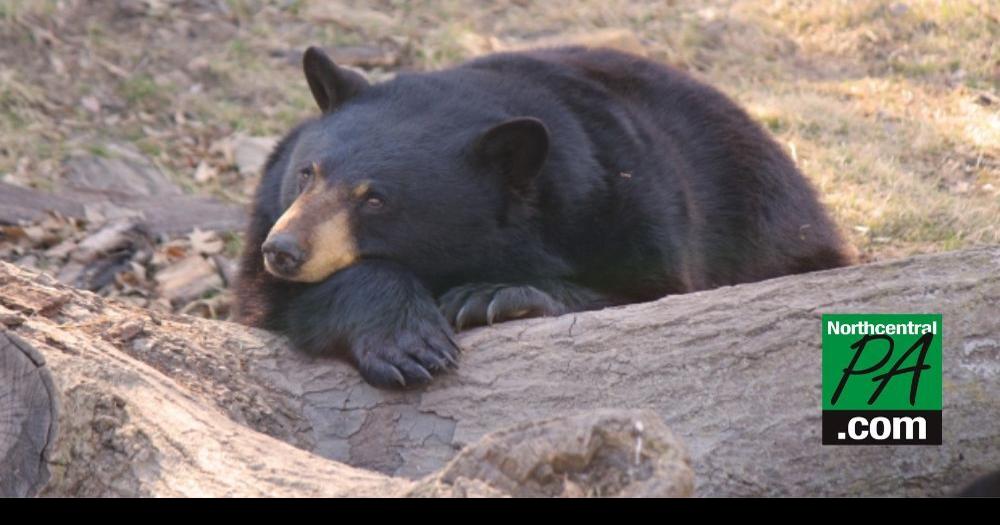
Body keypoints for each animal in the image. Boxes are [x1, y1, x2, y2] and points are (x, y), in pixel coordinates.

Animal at [233, 45, 853, 389]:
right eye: (307, 172)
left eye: (376, 200)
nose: (284, 250)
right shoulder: (268, 209)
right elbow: (270, 300)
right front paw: (408, 343)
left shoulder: (636, 208)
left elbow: (647, 295)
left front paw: (488, 296)